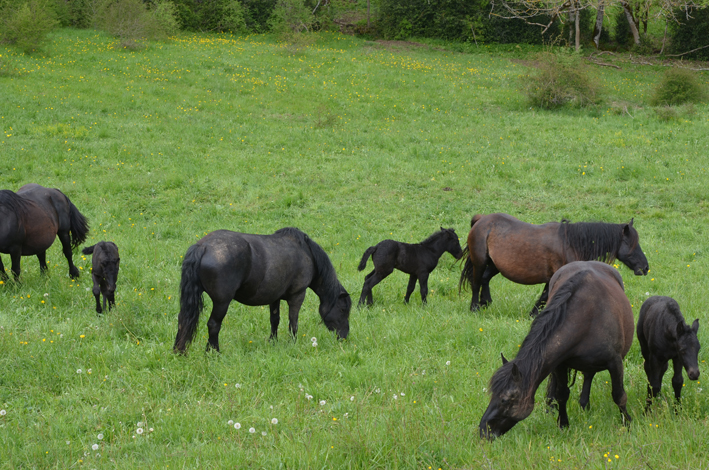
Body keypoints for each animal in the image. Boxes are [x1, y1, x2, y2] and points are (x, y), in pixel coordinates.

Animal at [174, 228, 352, 352]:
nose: (344, 337)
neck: (306, 253)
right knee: (213, 325)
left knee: (183, 320)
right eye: (343, 310)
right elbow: (293, 322)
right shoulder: (297, 295)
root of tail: (203, 246)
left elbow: (275, 320)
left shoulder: (274, 297)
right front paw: (292, 343)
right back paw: (214, 352)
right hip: (222, 302)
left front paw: (273, 342)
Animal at [460, 213, 648, 316]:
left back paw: (486, 303)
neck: (570, 243)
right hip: (480, 262)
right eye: (632, 244)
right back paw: (474, 308)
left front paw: (533, 314)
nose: (645, 267)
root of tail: (481, 220)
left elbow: (544, 296)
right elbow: (546, 296)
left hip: (494, 265)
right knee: (476, 283)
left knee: (484, 279)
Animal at [478, 262, 632, 438]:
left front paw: (627, 423)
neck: (586, 319)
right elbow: (562, 394)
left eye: (505, 399)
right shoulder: (559, 364)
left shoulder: (615, 362)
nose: (483, 430)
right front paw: (563, 424)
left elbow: (619, 395)